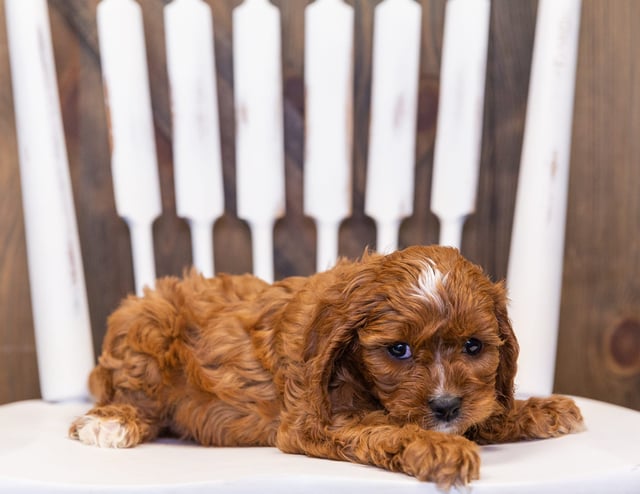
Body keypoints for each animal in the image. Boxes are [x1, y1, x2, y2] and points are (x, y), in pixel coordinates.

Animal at [71, 246, 584, 486]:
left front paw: (544, 409)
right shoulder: (313, 421)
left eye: (474, 346)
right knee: (137, 401)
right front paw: (441, 450)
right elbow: (387, 429)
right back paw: (110, 422)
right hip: (146, 327)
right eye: (398, 350)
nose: (445, 407)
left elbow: (486, 411)